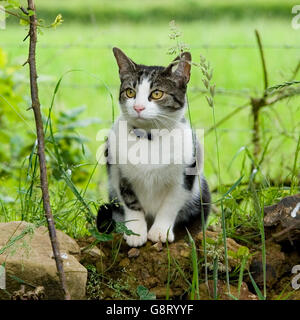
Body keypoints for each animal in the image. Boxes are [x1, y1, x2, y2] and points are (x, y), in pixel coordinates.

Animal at [96, 47, 211, 248]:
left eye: (157, 94)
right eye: (130, 92)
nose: (138, 107)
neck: (149, 137)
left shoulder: (185, 176)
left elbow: (170, 205)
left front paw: (160, 232)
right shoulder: (119, 172)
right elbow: (130, 202)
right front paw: (135, 232)